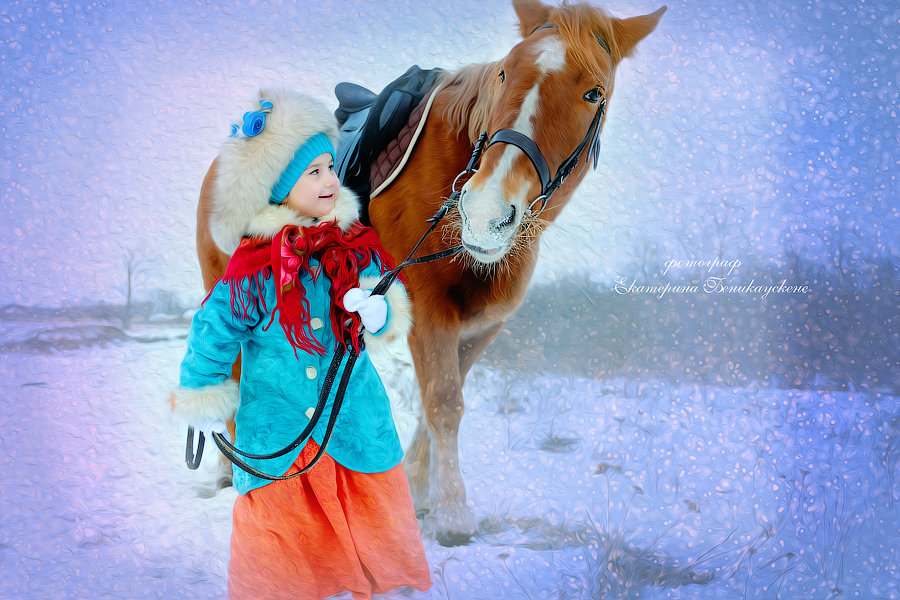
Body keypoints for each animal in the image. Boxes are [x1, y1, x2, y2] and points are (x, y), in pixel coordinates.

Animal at [193, 0, 664, 548]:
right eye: (504, 73)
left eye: (594, 93)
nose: (484, 212)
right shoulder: (429, 311)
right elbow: (443, 402)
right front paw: (455, 513)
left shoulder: (481, 326)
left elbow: (435, 398)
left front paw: (418, 492)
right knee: (232, 373)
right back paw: (235, 474)